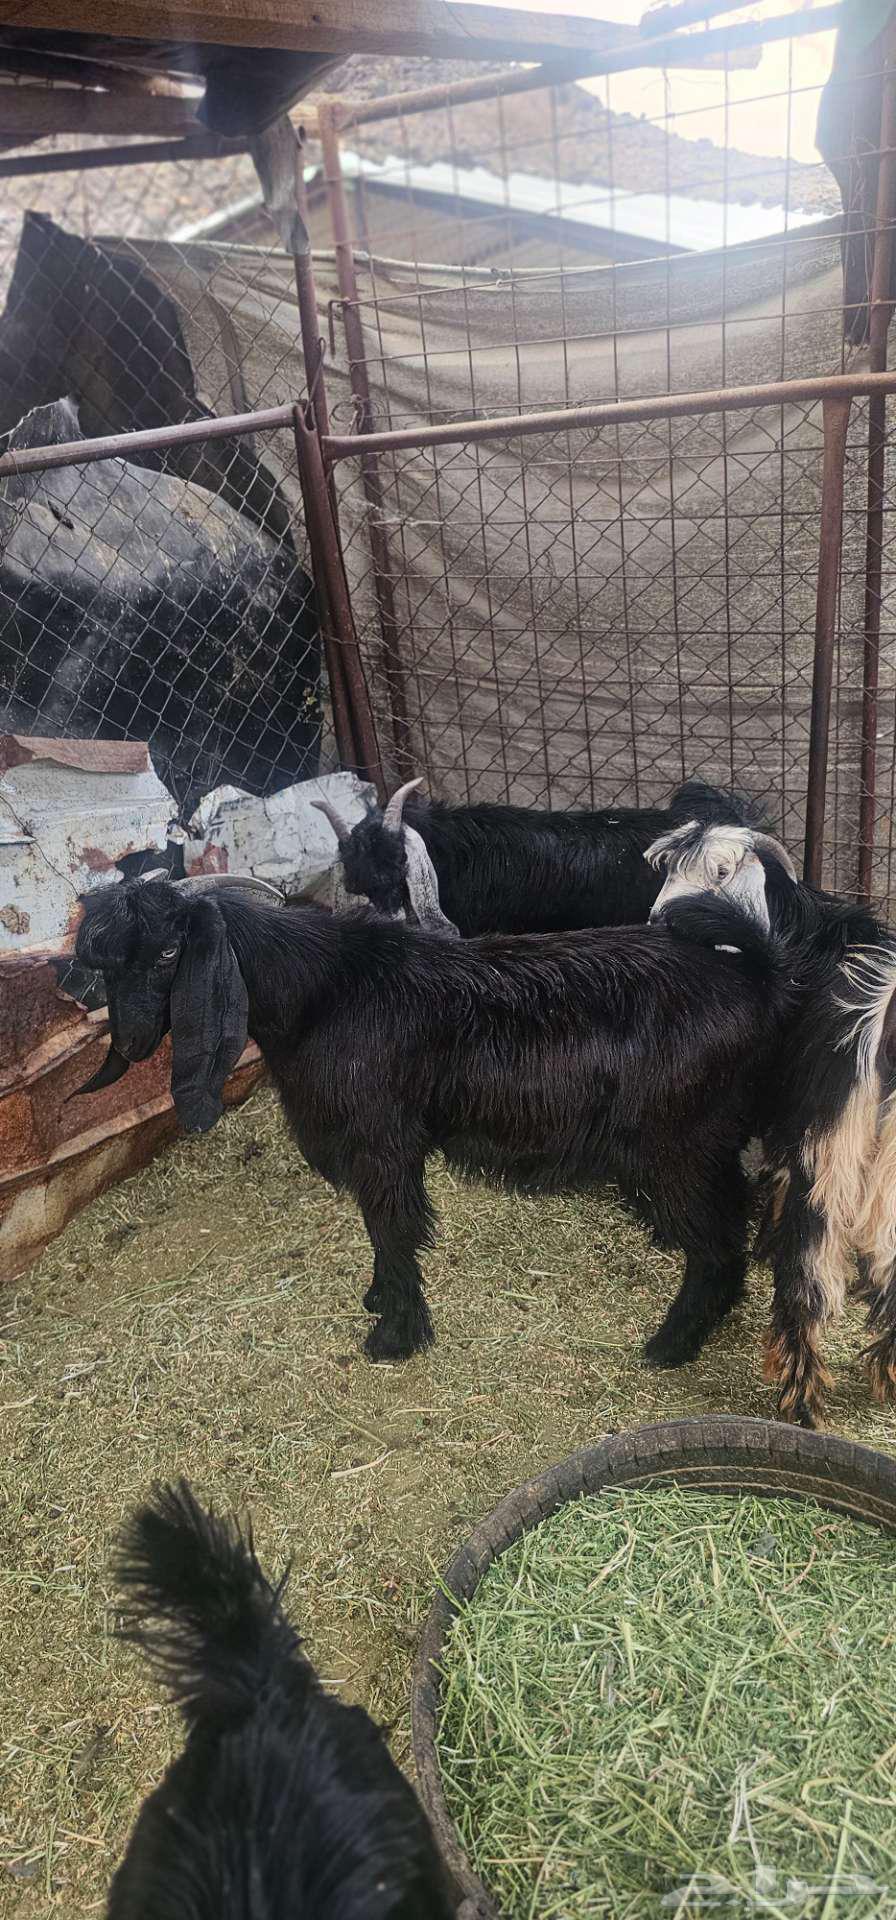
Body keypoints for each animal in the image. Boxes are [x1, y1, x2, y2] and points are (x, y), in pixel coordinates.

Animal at [76, 870, 795, 1374]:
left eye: (170, 952)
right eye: (108, 965)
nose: (132, 1042)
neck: (324, 993)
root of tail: (760, 978)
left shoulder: (382, 1144)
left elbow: (394, 1229)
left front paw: (395, 1334)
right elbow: (378, 1231)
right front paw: (378, 1301)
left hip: (675, 1147)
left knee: (716, 1247)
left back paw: (670, 1344)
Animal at [648, 818, 894, 1427]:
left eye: (719, 872)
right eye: (665, 869)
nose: (661, 922)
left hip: (826, 1162)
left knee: (811, 1283)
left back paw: (798, 1402)